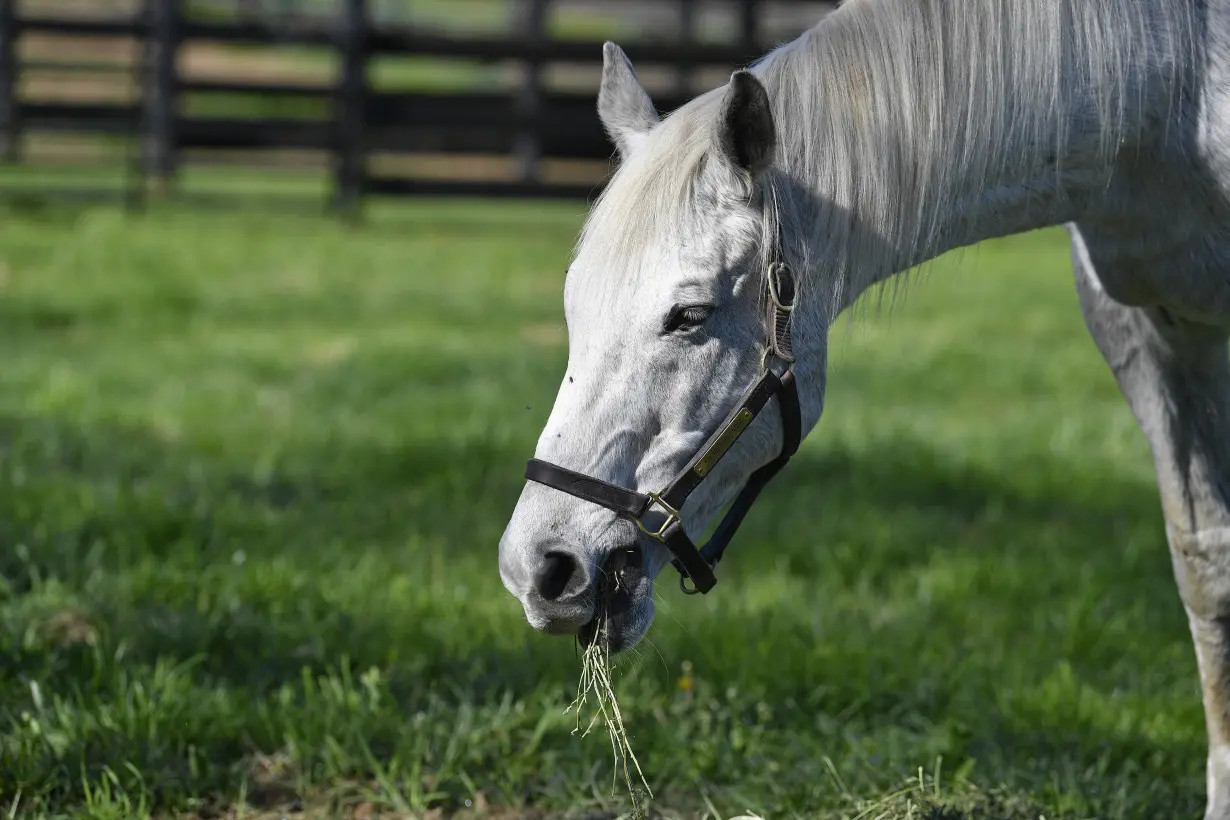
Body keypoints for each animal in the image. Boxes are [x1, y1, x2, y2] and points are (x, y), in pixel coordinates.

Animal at [496, 0, 1230, 816]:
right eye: (574, 308)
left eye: (689, 316)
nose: (539, 568)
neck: (1173, 92)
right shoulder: (1150, 336)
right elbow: (1205, 563)